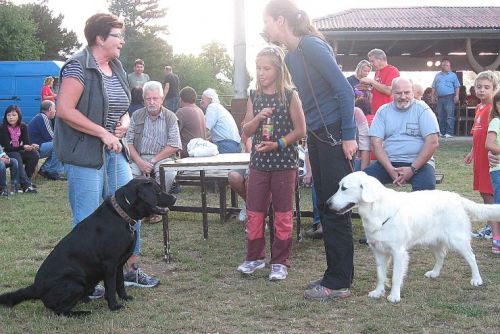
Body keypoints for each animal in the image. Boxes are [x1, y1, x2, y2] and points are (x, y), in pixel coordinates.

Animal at [0, 177, 176, 316]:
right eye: (158, 192)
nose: (174, 198)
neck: (122, 215)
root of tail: (36, 287)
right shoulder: (109, 265)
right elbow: (111, 288)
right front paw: (114, 306)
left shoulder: (119, 263)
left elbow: (120, 284)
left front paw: (125, 298)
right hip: (76, 282)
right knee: (60, 311)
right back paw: (83, 312)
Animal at [326, 172, 494, 302]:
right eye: (339, 186)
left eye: (344, 188)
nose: (327, 203)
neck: (375, 211)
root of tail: (456, 197)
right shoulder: (378, 250)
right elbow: (380, 275)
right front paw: (378, 292)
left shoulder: (398, 252)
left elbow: (395, 276)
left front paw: (394, 296)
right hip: (433, 240)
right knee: (441, 255)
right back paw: (434, 273)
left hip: (457, 240)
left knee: (471, 257)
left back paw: (476, 279)